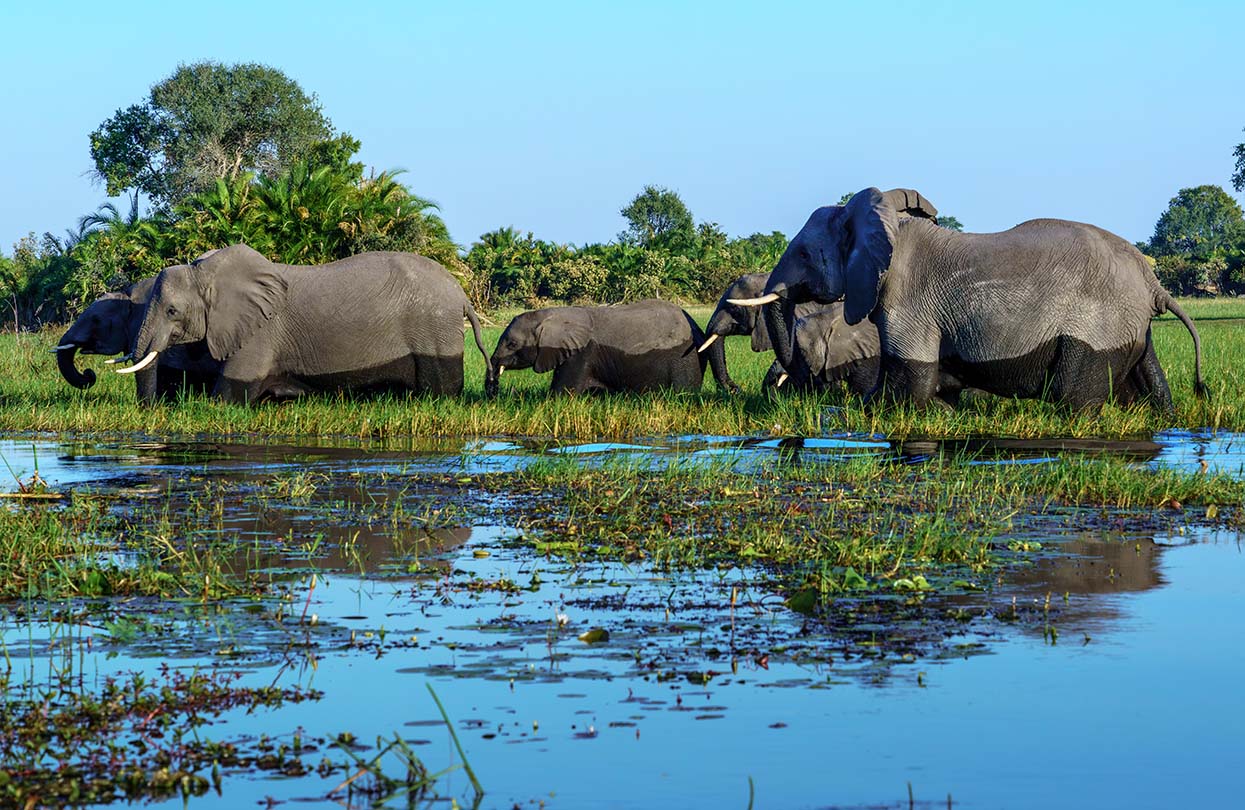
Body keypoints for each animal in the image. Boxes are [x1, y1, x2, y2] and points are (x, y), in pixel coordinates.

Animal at [117, 244, 492, 403]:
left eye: (172, 311)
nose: (149, 409)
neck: (208, 272)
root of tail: (461, 295)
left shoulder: (261, 332)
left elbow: (229, 394)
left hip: (434, 328)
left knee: (439, 388)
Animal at [487, 299, 718, 394]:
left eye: (512, 344)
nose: (495, 394)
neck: (552, 314)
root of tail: (697, 328)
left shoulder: (581, 354)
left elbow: (562, 393)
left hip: (685, 358)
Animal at [735, 187, 1206, 411]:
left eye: (802, 254)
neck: (887, 225)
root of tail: (1153, 283)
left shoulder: (908, 301)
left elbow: (910, 384)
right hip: (1128, 326)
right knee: (1147, 383)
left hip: (1095, 324)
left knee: (1075, 399)